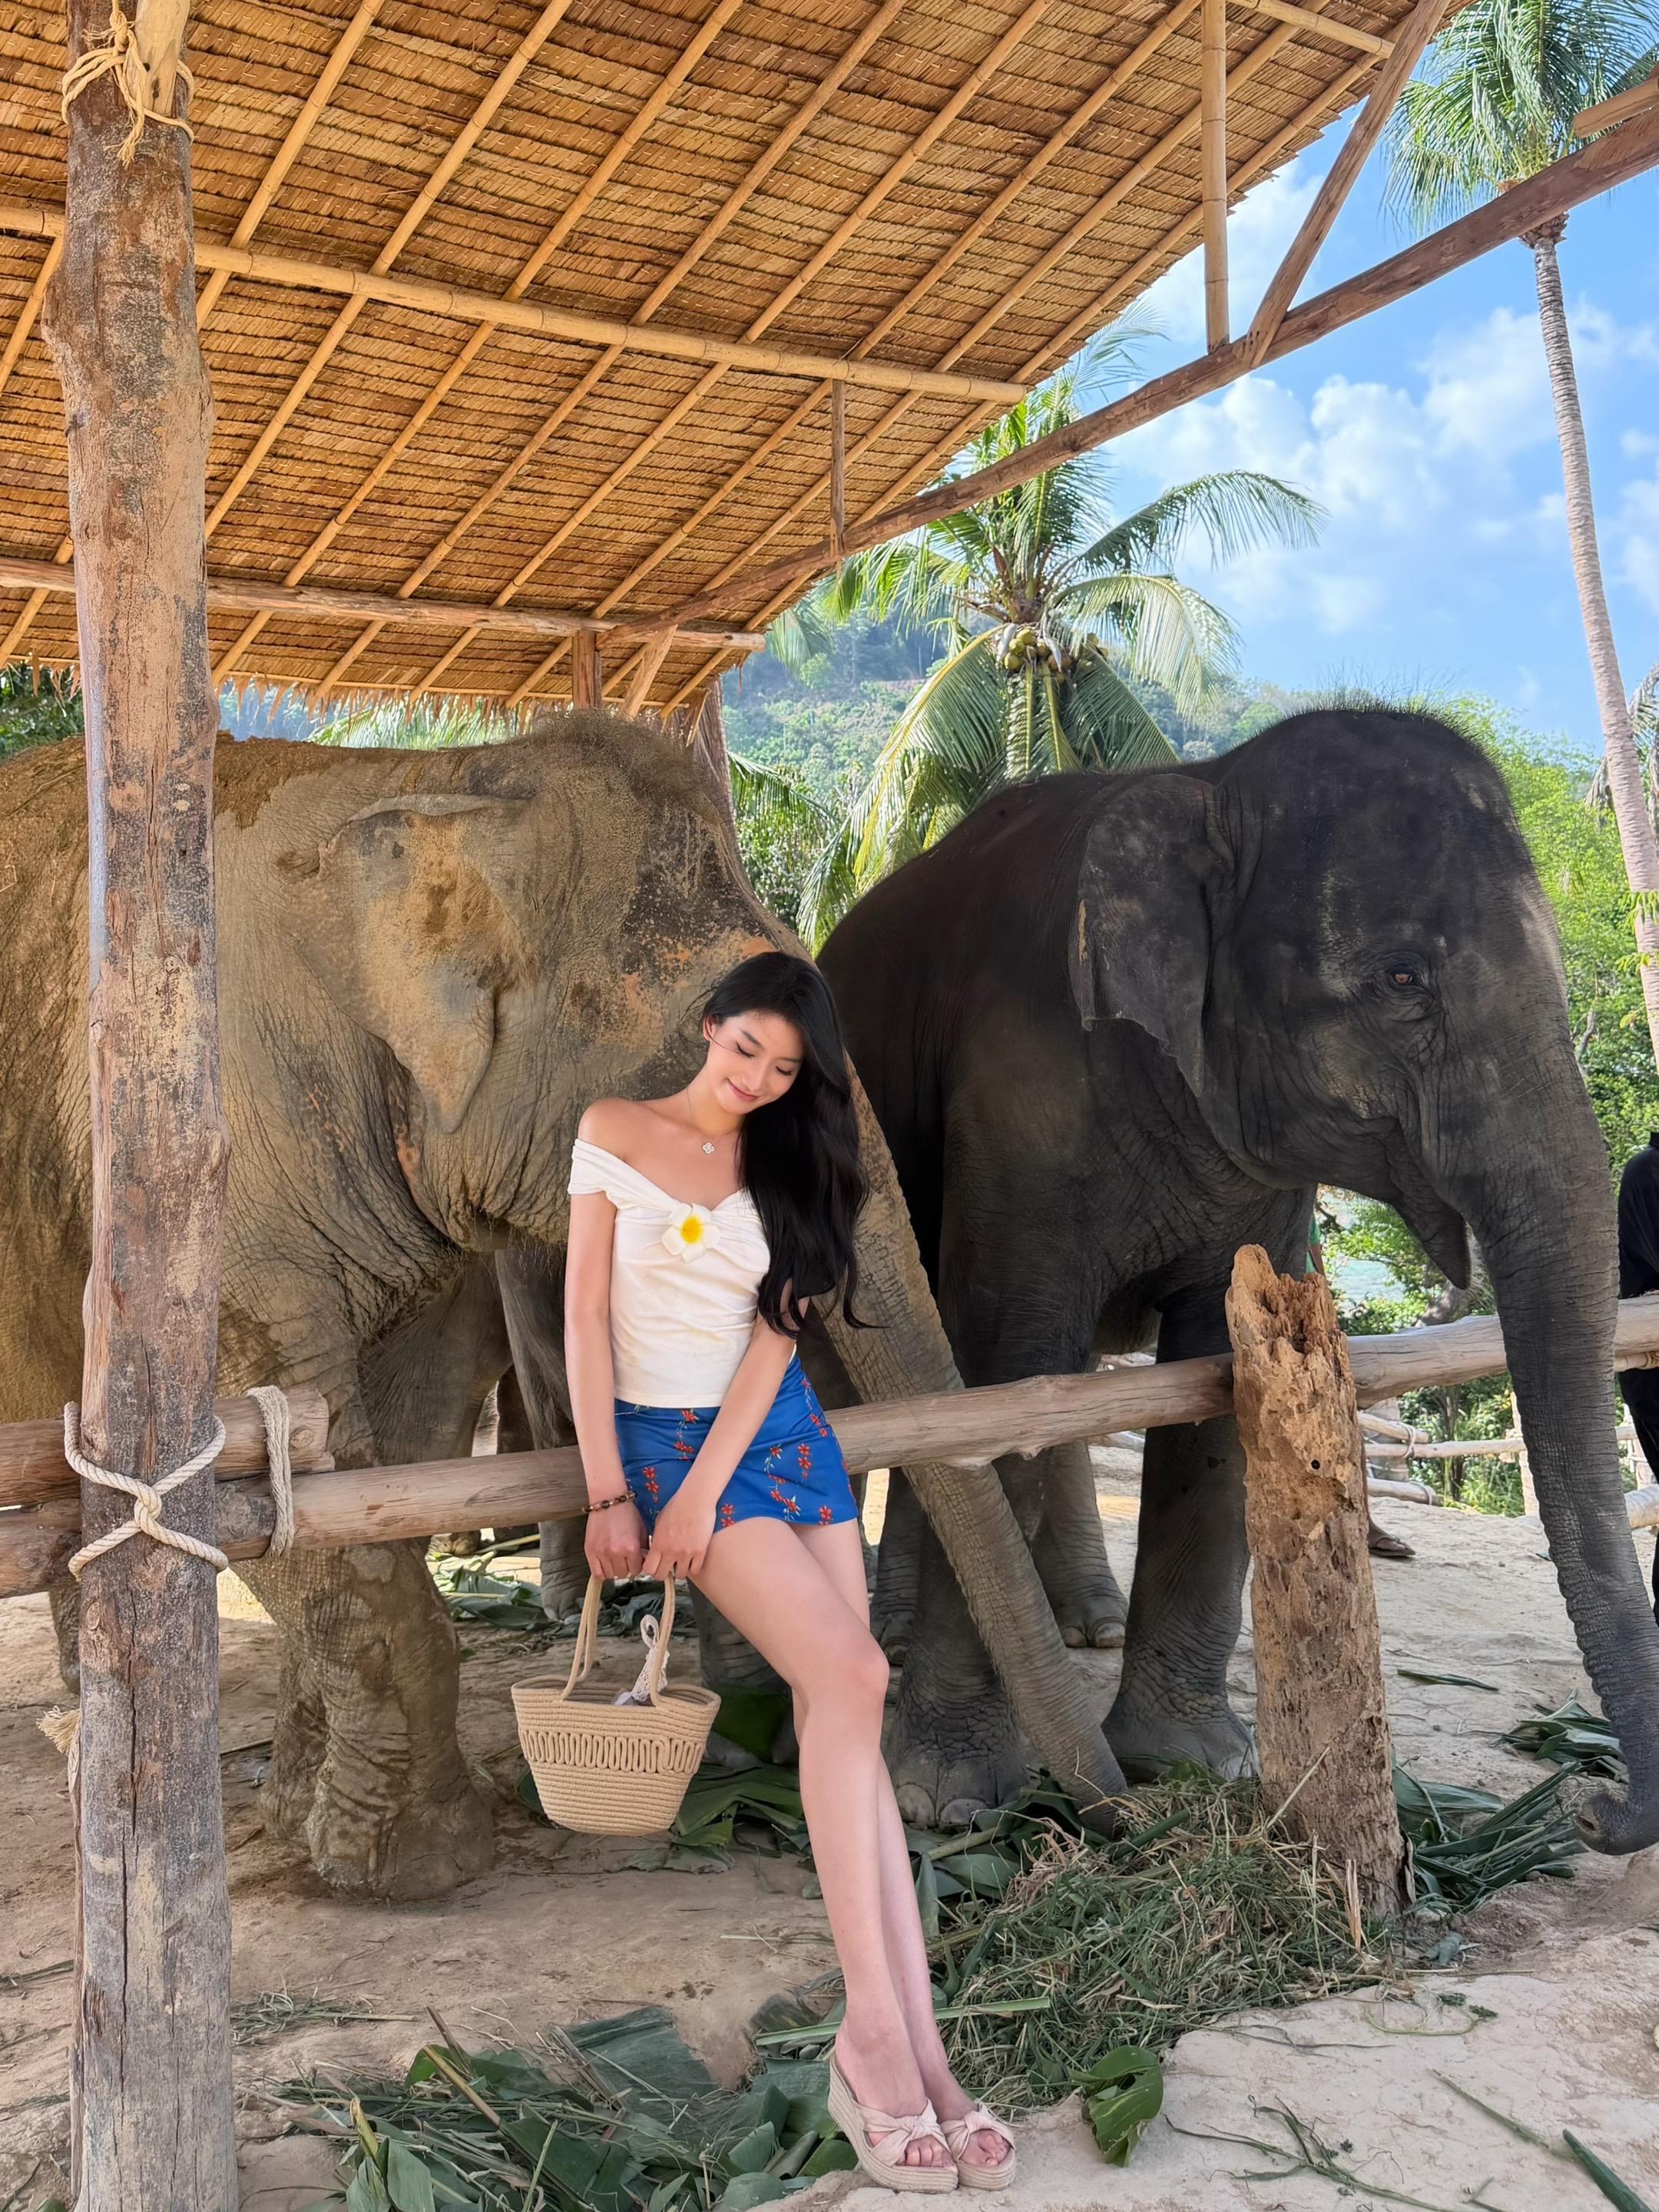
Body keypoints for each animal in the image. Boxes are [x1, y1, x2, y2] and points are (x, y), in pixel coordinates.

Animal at [0, 709, 1126, 1899]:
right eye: (717, 1049)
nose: (1112, 1814)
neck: (438, 784)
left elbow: (392, 1452)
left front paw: (309, 1819)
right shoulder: (207, 1147)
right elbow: (262, 1452)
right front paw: (419, 1869)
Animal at [817, 708, 1659, 1856]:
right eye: (1402, 979)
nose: (1595, 1808)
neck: (1204, 787)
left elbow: (1214, 1380)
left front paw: (1193, 1767)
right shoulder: (1016, 1097)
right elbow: (1004, 1360)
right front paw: (946, 1802)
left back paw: (1078, 1624)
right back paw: (899, 1642)